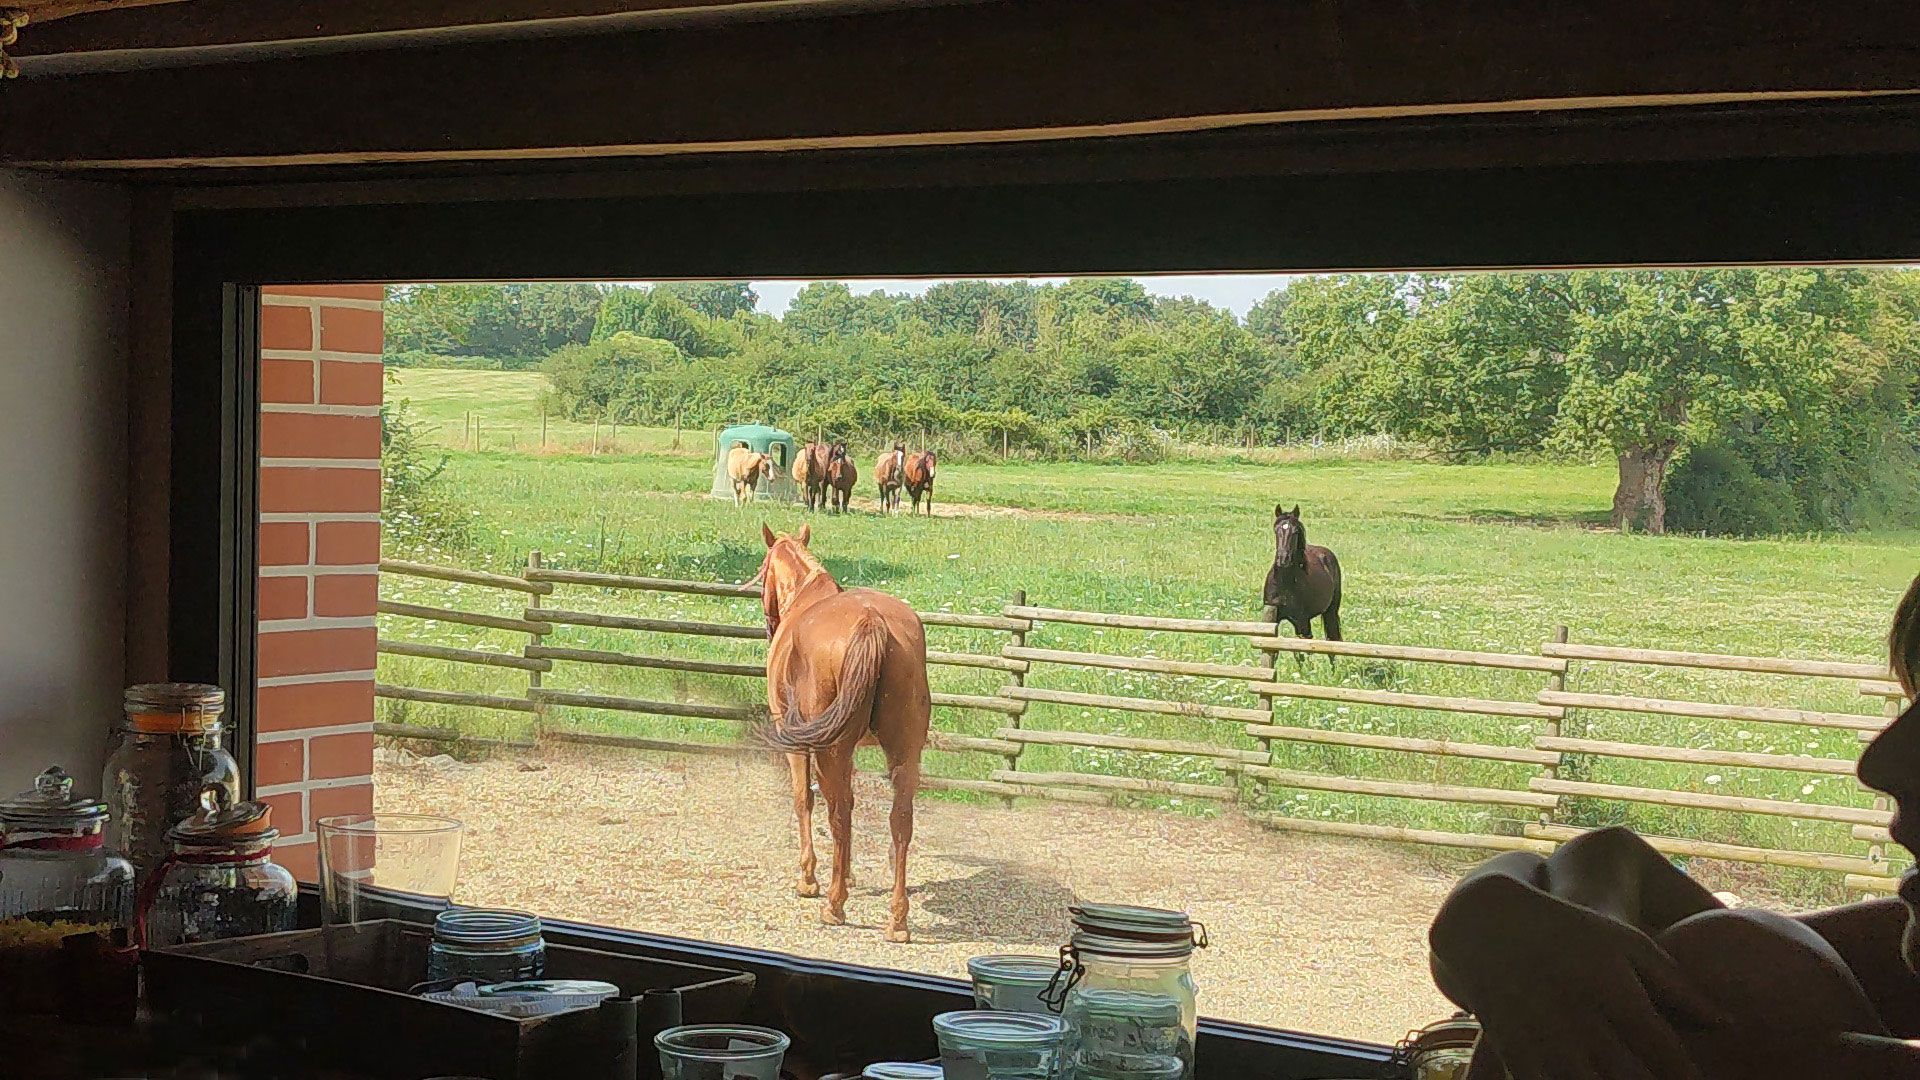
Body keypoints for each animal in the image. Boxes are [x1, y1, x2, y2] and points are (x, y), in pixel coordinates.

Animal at [753, 522, 930, 942]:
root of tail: (871, 619)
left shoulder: (796, 741)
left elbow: (804, 799)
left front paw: (809, 878)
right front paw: (846, 872)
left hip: (829, 749)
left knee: (838, 814)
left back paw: (834, 905)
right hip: (903, 753)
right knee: (899, 821)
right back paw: (897, 920)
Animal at [1262, 504, 1343, 643]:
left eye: (1295, 532)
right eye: (1276, 530)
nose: (1283, 559)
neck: (1285, 583)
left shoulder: (1302, 622)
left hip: (1330, 611)